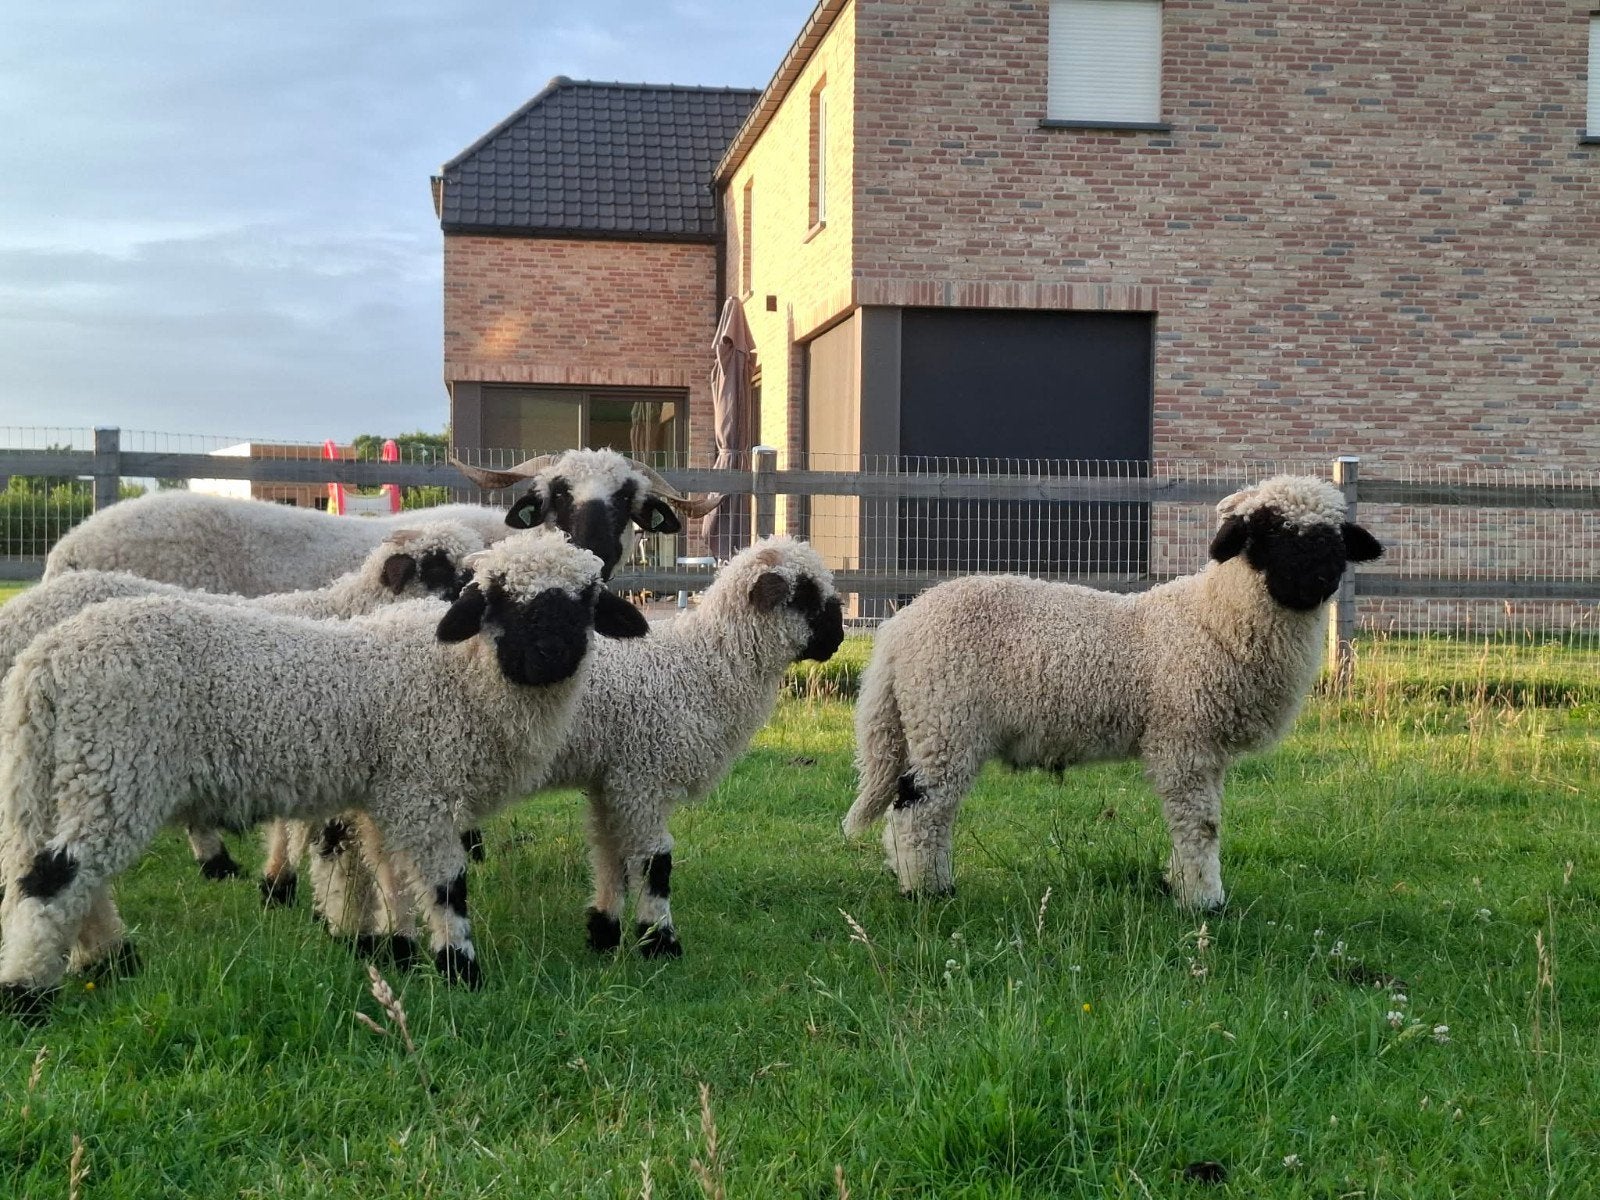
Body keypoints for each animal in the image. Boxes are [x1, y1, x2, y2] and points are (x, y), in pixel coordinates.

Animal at [313, 535, 845, 960]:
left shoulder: (611, 779)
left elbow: (611, 856)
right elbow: (654, 862)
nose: (839, 639)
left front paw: (604, 934)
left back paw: (353, 932)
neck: (703, 666)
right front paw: (660, 943)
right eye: (807, 595)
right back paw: (351, 930)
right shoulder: (642, 776)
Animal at [843, 475, 1383, 910]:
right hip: (946, 718)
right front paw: (1203, 902)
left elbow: (1199, 821)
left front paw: (1179, 885)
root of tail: (897, 631)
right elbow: (1199, 825)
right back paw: (928, 892)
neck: (1214, 620)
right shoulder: (1183, 740)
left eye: (1335, 538)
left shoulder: (1206, 749)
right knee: (920, 806)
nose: (1318, 579)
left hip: (927, 720)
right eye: (1267, 533)